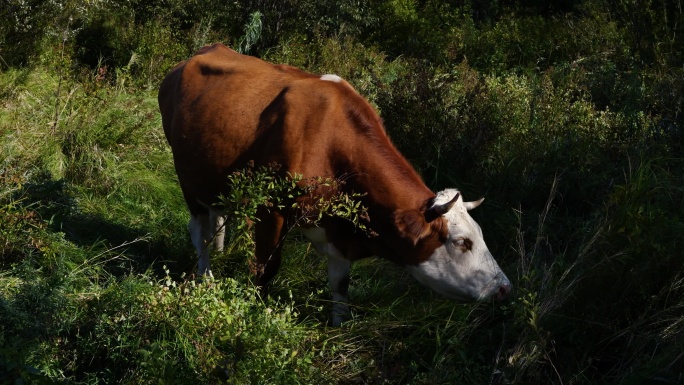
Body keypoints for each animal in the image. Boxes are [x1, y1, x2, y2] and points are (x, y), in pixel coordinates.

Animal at [158, 43, 510, 326]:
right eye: (462, 242)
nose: (504, 288)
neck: (329, 143)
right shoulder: (272, 209)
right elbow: (265, 268)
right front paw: (254, 310)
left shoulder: (341, 233)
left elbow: (340, 286)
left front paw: (339, 326)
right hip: (186, 174)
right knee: (200, 231)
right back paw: (205, 275)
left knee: (216, 218)